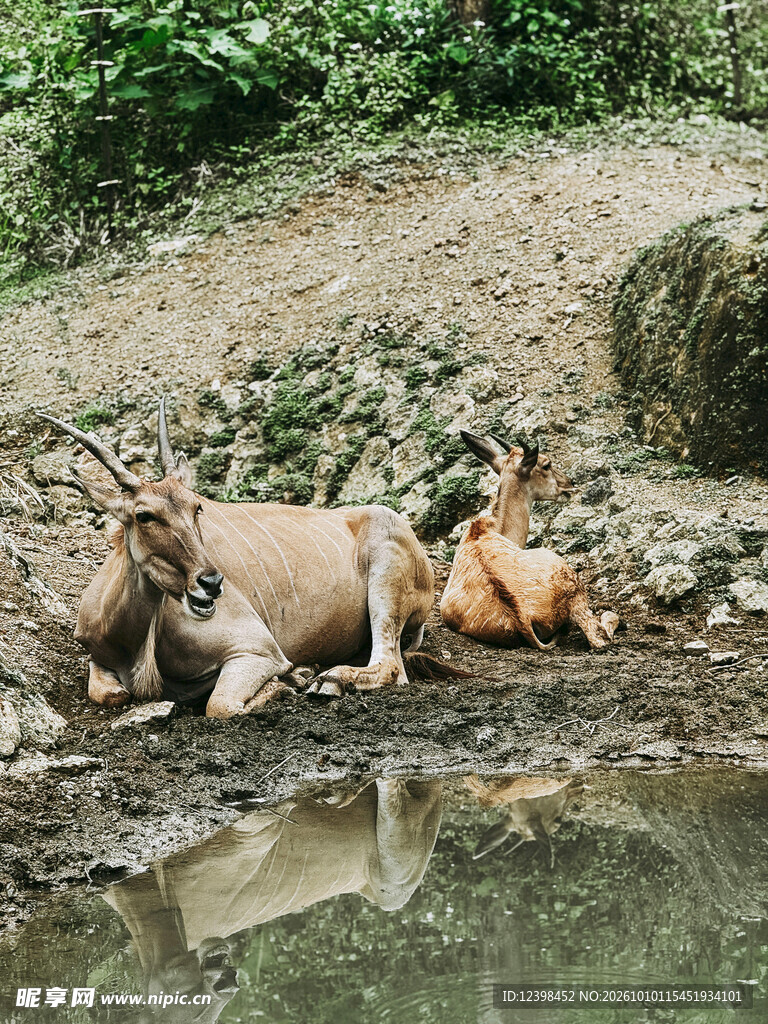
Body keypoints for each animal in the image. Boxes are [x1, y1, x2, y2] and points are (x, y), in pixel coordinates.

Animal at [37, 400, 462, 719]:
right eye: (143, 515)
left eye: (196, 507)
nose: (210, 584)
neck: (136, 644)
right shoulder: (97, 658)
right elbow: (111, 693)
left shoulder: (256, 651)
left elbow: (221, 705)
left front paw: (291, 681)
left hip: (384, 587)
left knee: (392, 666)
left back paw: (329, 679)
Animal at [440, 430, 618, 651]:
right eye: (546, 464)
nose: (569, 483)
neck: (487, 529)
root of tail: (522, 617)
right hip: (575, 590)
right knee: (598, 636)